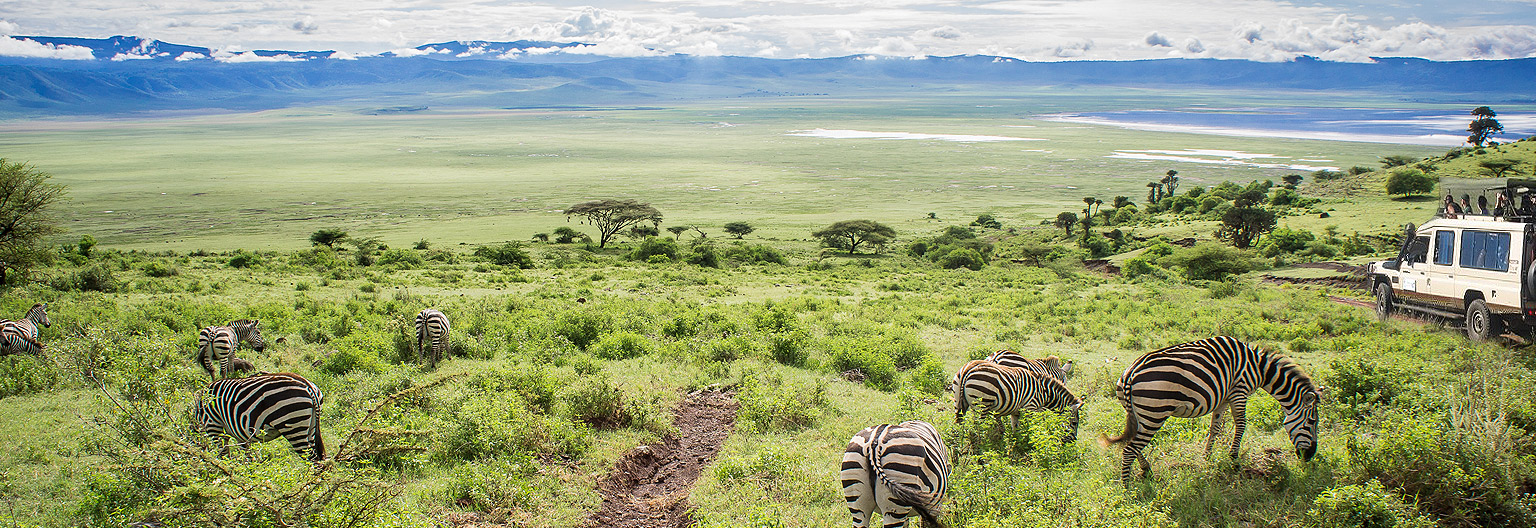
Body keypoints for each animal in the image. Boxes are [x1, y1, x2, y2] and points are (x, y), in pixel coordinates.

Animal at [196, 371, 325, 460]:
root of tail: (307, 385)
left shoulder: (214, 426)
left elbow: (223, 454)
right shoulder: (240, 435)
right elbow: (245, 456)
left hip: (293, 425)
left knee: (312, 459)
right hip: (311, 426)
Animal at [1099, 336, 1327, 485]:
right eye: (1312, 423)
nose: (1309, 456)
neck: (1259, 368)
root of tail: (1130, 374)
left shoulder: (1223, 398)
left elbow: (1215, 428)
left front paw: (1207, 457)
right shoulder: (1239, 390)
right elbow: (1241, 424)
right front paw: (1234, 459)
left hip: (1137, 414)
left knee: (1131, 444)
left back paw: (1146, 470)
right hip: (1154, 414)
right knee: (1129, 449)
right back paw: (1127, 488)